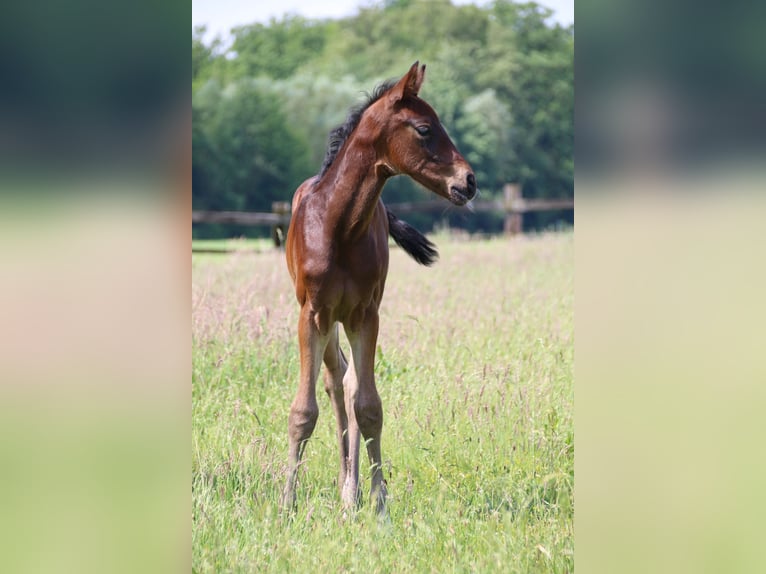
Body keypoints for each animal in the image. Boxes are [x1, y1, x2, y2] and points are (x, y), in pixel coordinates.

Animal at [284, 64, 474, 516]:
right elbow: (304, 410)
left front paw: (379, 504)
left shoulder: (366, 314)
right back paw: (343, 484)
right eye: (425, 128)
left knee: (352, 385)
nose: (470, 181)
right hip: (328, 321)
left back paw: (350, 491)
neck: (339, 226)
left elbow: (369, 406)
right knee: (336, 381)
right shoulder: (312, 314)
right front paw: (286, 504)